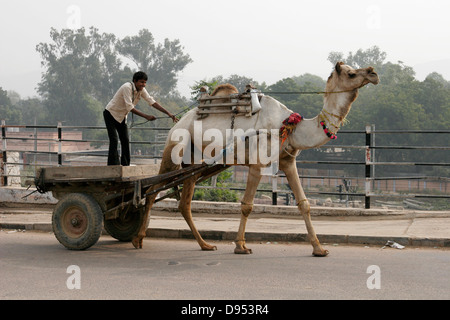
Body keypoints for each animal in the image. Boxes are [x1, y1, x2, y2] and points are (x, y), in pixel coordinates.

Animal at [133, 62, 380, 256]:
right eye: (351, 73)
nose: (373, 72)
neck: (290, 126)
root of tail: (177, 121)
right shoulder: (257, 163)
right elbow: (247, 205)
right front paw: (241, 246)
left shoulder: (288, 161)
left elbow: (304, 203)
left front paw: (319, 249)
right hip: (175, 149)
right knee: (151, 189)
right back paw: (138, 239)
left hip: (194, 164)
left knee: (183, 203)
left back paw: (205, 245)